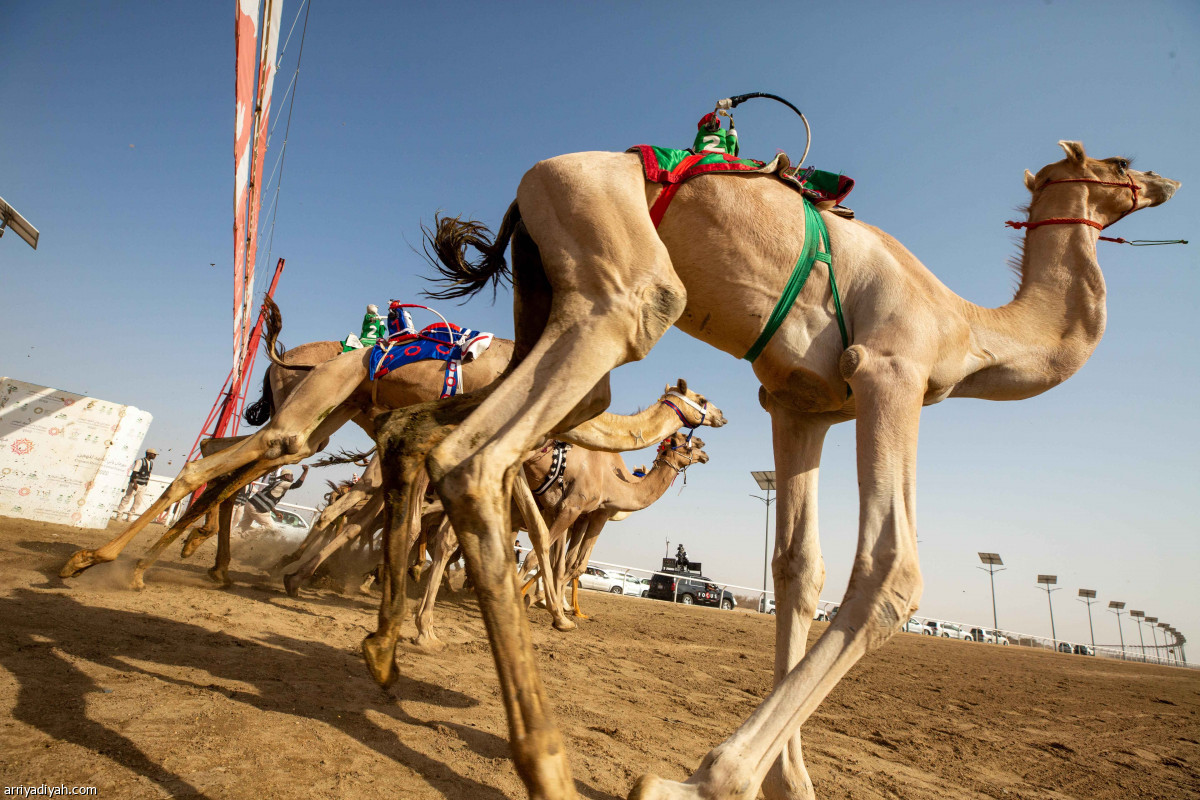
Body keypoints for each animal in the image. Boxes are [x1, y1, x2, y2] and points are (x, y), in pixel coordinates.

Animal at [59, 299, 516, 587]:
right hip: (312, 405)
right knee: (248, 455)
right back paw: (100, 561)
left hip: (325, 416)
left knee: (233, 450)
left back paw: (199, 560)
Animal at [357, 140, 1180, 796]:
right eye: (1119, 164)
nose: (1165, 181)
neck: (967, 329)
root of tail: (534, 180)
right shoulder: (893, 371)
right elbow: (889, 570)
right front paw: (702, 781)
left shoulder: (801, 406)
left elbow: (796, 567)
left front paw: (787, 782)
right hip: (613, 273)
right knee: (482, 456)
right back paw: (546, 762)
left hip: (543, 306)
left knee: (425, 435)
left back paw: (385, 648)